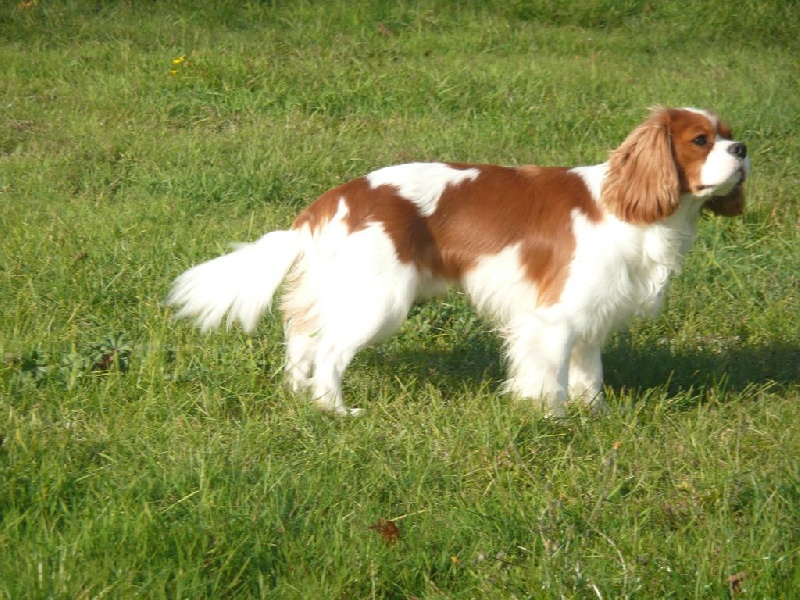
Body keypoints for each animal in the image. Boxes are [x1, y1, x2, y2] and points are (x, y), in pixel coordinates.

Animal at [169, 108, 752, 414]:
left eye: (728, 134)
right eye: (701, 140)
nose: (743, 149)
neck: (629, 206)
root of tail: (331, 200)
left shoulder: (592, 314)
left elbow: (591, 374)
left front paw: (596, 417)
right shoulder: (556, 317)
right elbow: (554, 376)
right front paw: (555, 420)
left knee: (301, 336)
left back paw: (298, 394)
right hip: (380, 300)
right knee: (330, 350)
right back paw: (335, 408)